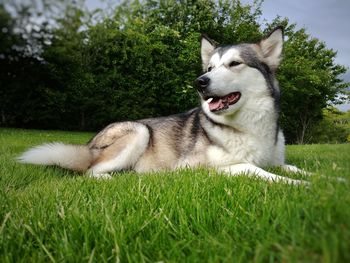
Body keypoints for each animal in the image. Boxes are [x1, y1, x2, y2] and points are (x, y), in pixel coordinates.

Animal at [17, 26, 306, 184]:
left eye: (234, 63)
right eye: (210, 68)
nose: (200, 81)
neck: (249, 127)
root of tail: (89, 144)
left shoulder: (274, 160)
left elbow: (294, 167)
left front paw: (315, 179)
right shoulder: (203, 167)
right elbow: (253, 169)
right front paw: (298, 185)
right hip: (139, 131)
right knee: (91, 171)